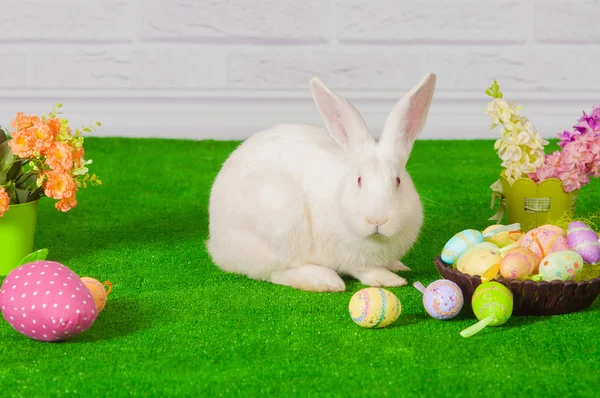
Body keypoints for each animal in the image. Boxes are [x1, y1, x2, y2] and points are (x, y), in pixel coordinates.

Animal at [206, 72, 436, 292]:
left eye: (398, 181)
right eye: (359, 180)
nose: (377, 220)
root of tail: (215, 244)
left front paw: (397, 266)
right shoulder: (352, 258)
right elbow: (365, 270)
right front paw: (389, 279)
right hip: (279, 218)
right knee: (277, 271)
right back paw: (324, 280)